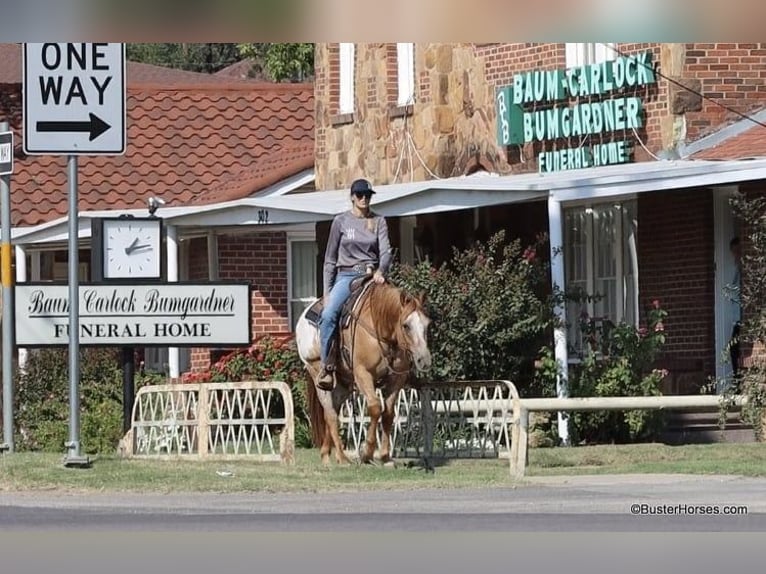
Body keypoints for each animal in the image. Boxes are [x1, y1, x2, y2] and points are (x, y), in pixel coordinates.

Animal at [295, 279, 432, 466]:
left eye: (427, 324)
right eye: (406, 325)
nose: (424, 360)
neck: (379, 328)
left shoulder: (396, 379)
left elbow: (388, 414)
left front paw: (385, 456)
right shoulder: (363, 374)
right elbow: (375, 408)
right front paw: (367, 453)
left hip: (343, 384)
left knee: (334, 411)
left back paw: (326, 454)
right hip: (317, 374)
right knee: (330, 414)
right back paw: (342, 458)